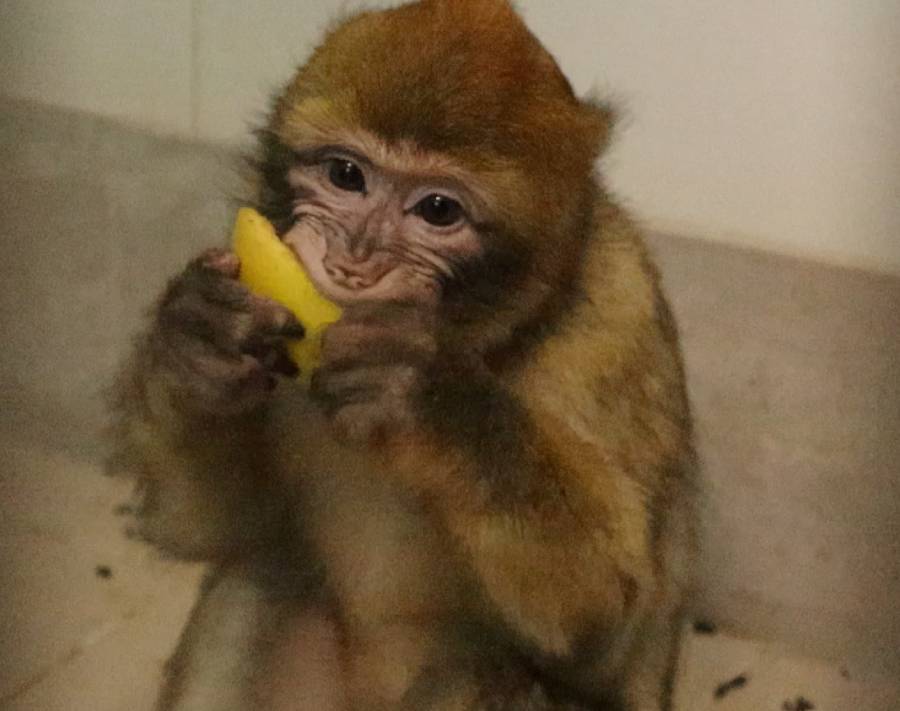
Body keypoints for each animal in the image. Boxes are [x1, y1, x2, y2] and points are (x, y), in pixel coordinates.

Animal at [107, 0, 698, 709]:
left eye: (438, 209)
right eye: (346, 176)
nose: (353, 261)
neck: (491, 339)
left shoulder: (615, 323)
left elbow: (610, 630)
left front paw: (427, 394)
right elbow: (216, 526)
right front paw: (198, 344)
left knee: (483, 673)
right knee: (256, 585)